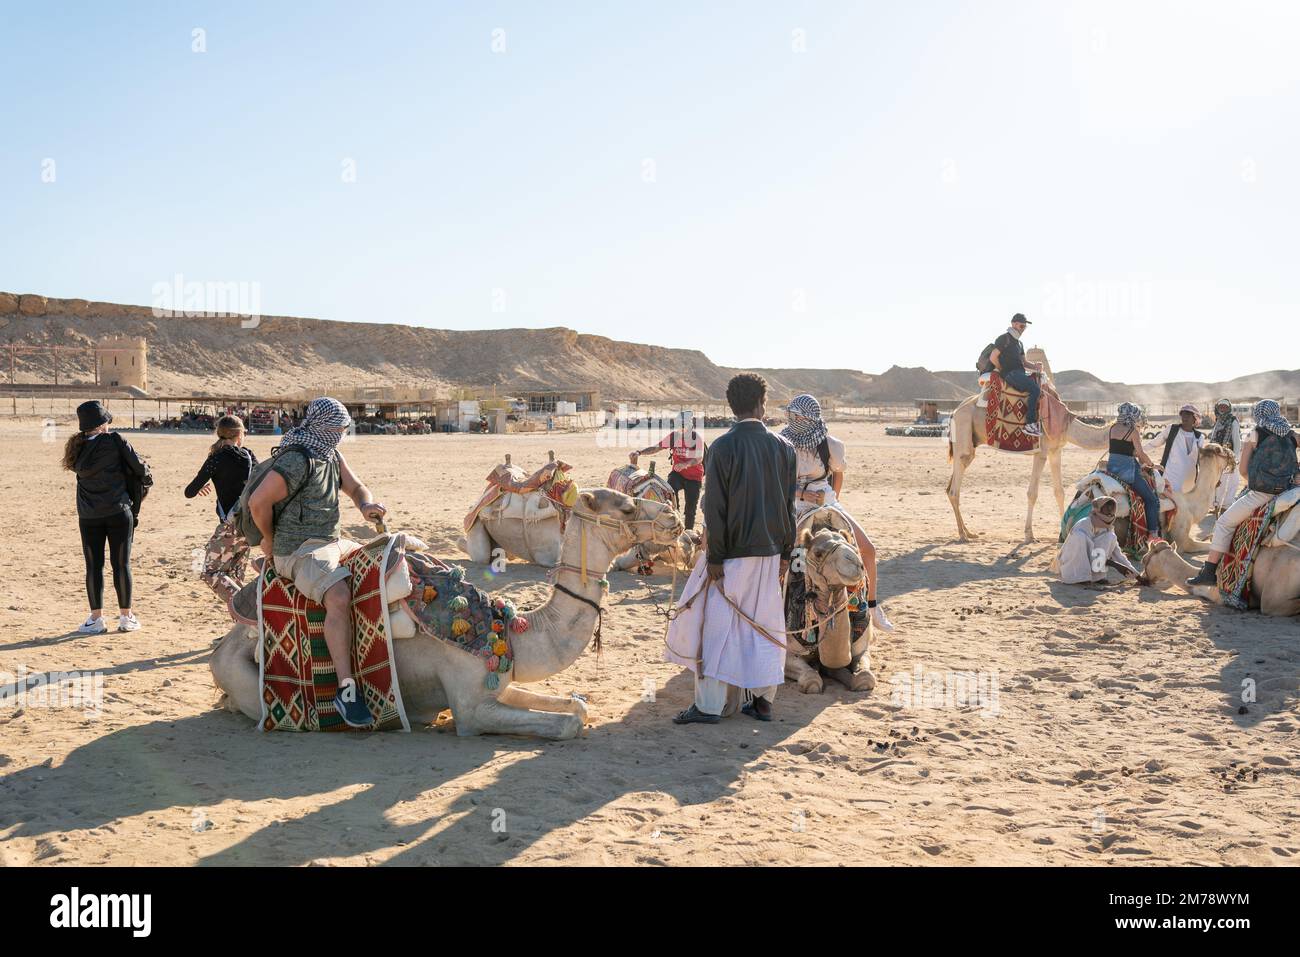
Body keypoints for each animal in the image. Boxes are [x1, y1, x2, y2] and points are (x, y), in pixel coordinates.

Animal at [211, 488, 681, 738]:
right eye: (625, 506)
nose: (673, 516)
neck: (511, 628)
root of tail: (221, 646)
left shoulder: (497, 683)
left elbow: (577, 707)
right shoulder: (470, 708)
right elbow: (566, 725)